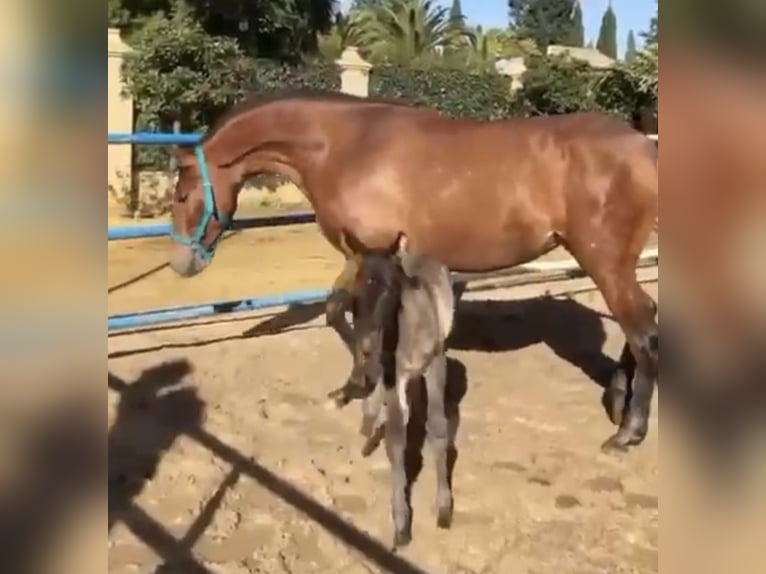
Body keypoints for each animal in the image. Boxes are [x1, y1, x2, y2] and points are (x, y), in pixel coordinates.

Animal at [168, 90, 660, 452]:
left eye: (181, 195)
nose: (180, 262)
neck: (345, 146)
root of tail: (642, 147)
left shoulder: (371, 255)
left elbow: (360, 323)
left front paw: (364, 385)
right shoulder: (358, 256)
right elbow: (336, 312)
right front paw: (349, 389)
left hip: (604, 262)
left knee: (642, 330)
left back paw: (627, 433)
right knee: (642, 320)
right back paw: (618, 402)